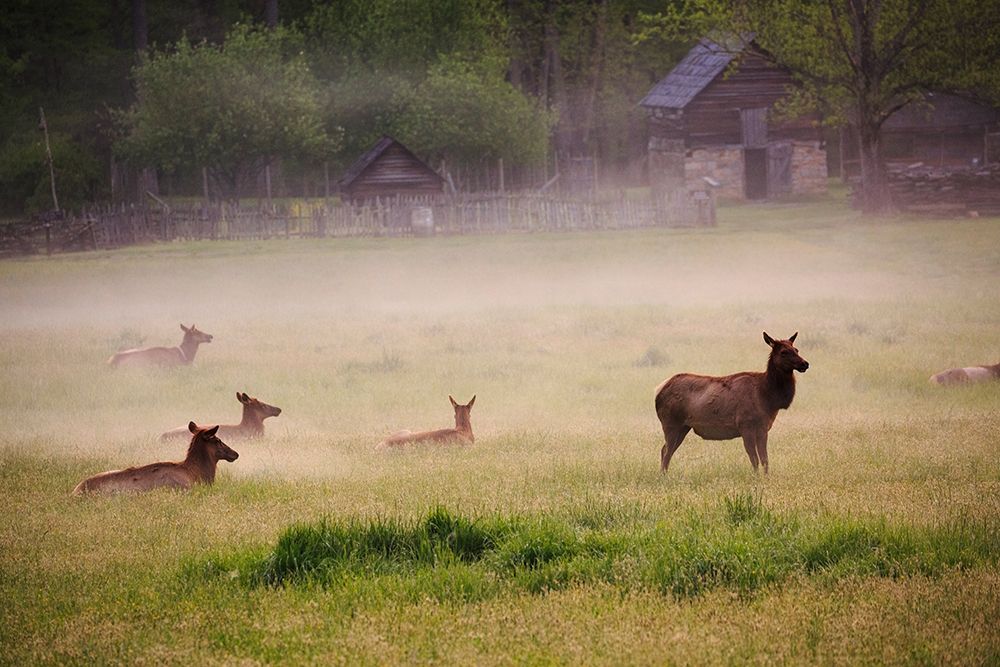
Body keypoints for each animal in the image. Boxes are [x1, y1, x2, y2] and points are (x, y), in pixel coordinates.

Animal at [655, 332, 809, 474]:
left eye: (796, 349)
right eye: (783, 352)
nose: (805, 363)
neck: (768, 398)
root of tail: (658, 390)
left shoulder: (763, 427)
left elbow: (765, 459)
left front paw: (766, 477)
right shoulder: (745, 424)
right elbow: (754, 458)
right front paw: (756, 477)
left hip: (683, 427)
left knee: (665, 450)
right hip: (671, 424)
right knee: (666, 451)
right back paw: (664, 476)